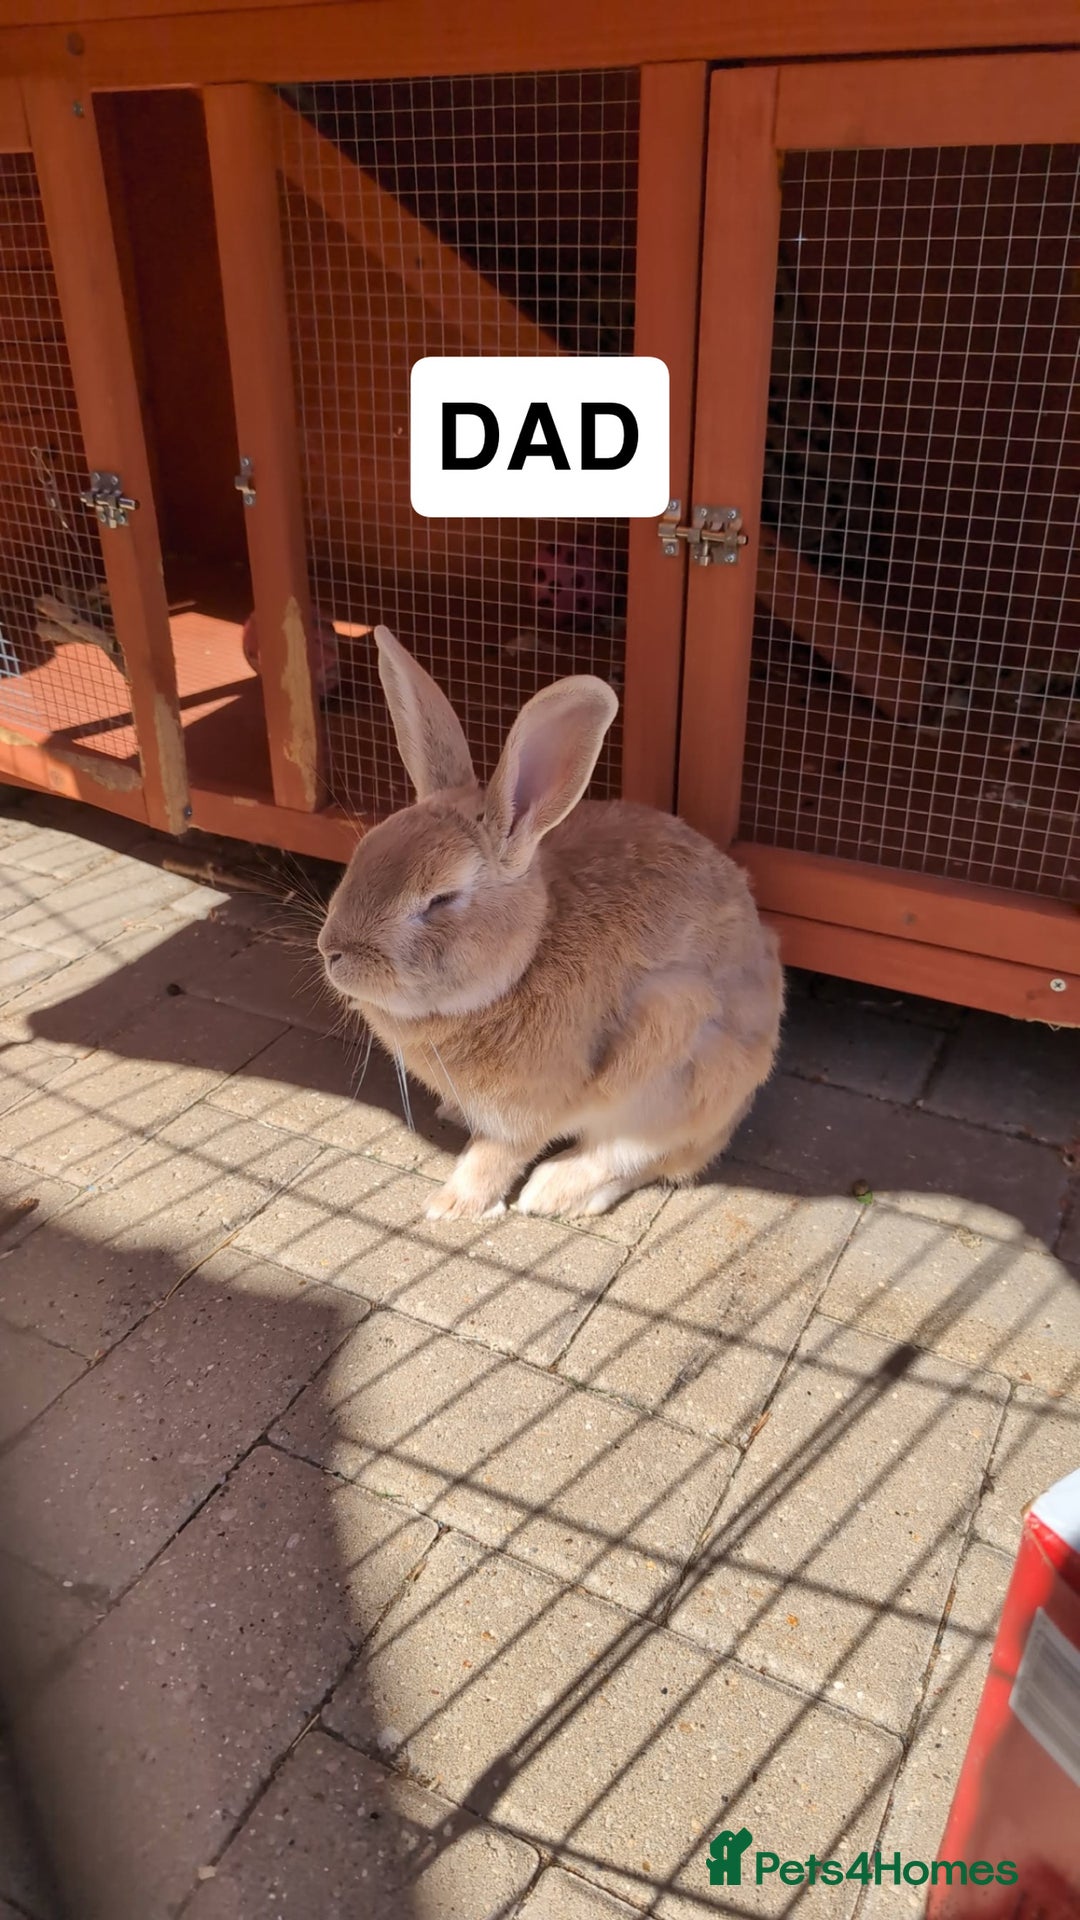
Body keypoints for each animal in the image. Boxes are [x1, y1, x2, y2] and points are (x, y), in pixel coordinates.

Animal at [317, 625, 784, 1221]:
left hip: (671, 1055)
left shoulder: (523, 1112)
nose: (332, 952)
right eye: (363, 855)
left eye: (441, 899)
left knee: (637, 1156)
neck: (524, 961)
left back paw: (551, 1192)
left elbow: (493, 1156)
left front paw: (450, 1206)